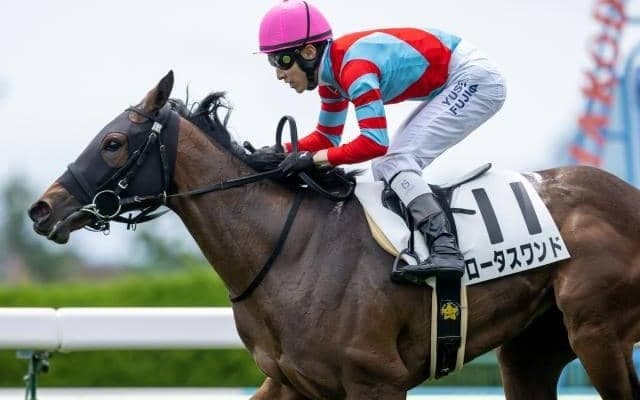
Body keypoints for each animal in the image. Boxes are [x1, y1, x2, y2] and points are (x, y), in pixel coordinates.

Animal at [27, 71, 640, 400]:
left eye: (112, 144)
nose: (41, 209)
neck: (290, 253)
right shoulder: (292, 380)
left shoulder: (378, 382)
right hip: (533, 350)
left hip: (598, 333)